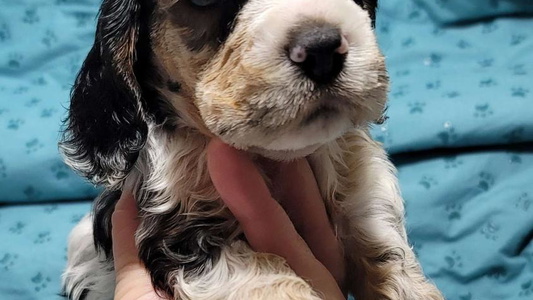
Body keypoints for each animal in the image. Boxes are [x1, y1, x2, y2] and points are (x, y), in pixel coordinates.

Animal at [60, 0, 442, 300]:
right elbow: (267, 280)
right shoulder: (179, 227)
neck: (268, 156)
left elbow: (380, 239)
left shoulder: (361, 177)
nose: (320, 49)